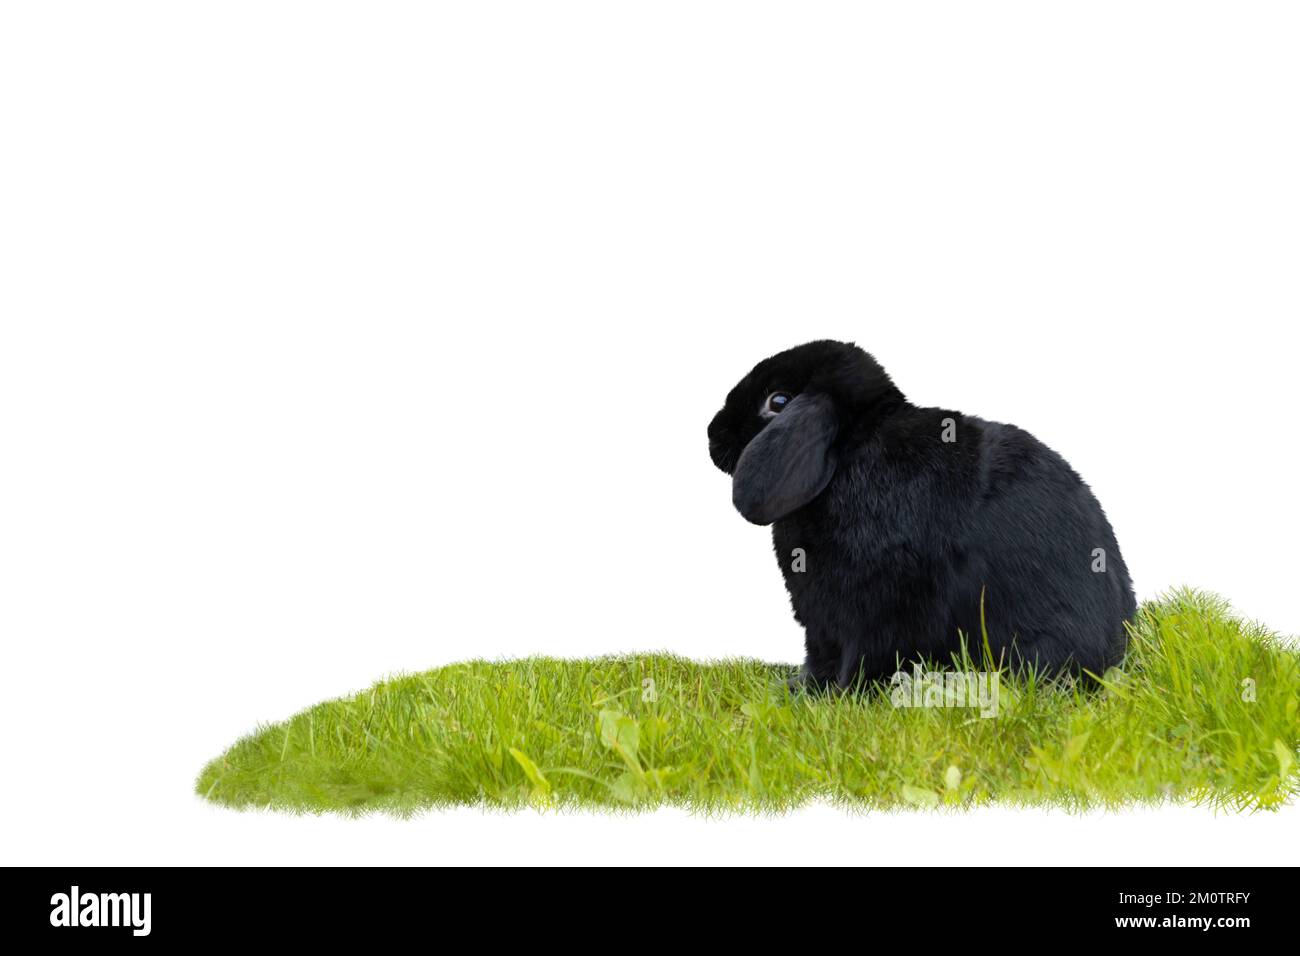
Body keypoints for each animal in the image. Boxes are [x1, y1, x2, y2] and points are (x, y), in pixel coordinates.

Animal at [707, 340, 1135, 690]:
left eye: (777, 402)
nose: (712, 433)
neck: (852, 453)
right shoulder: (821, 623)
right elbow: (819, 657)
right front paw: (800, 690)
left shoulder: (880, 610)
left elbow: (864, 658)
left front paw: (841, 698)